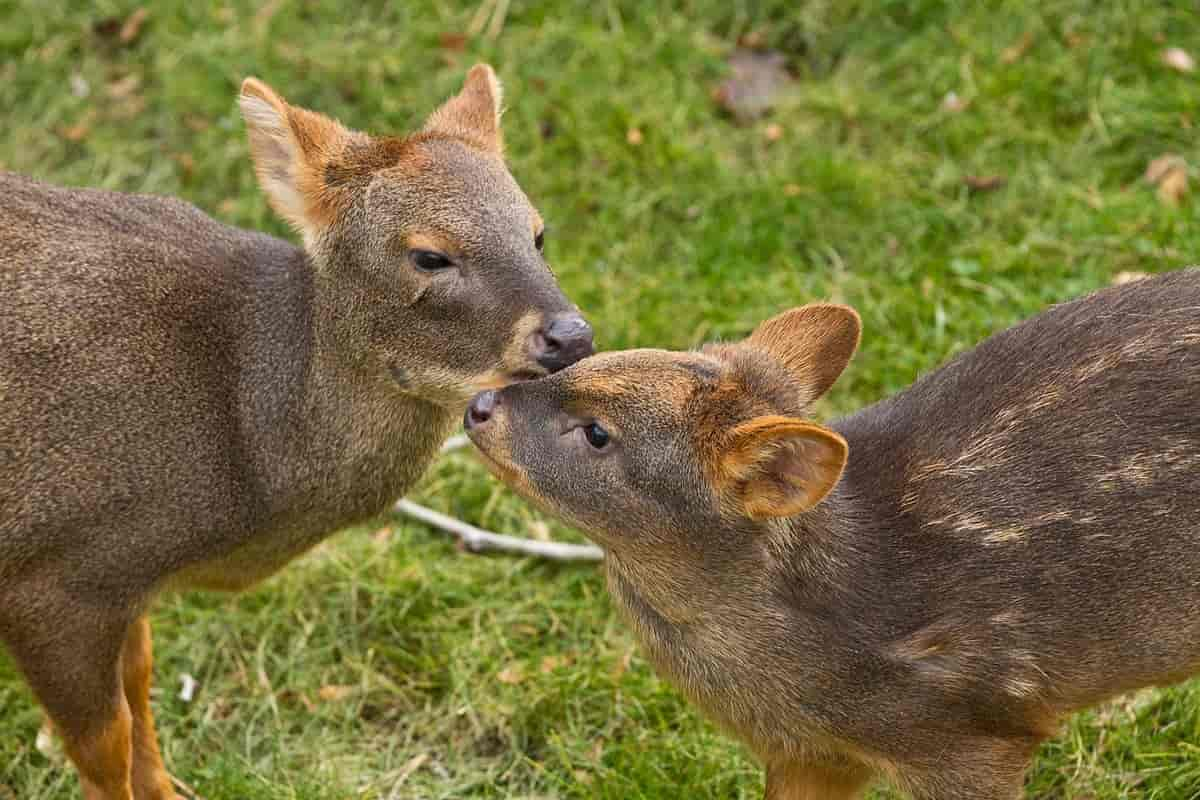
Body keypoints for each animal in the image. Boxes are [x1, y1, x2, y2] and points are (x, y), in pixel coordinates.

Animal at [0, 64, 590, 800]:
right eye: (429, 256)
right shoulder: (52, 575)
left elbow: (140, 686)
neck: (243, 436)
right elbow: (104, 744)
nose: (571, 336)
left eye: (536, 233)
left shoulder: (124, 574)